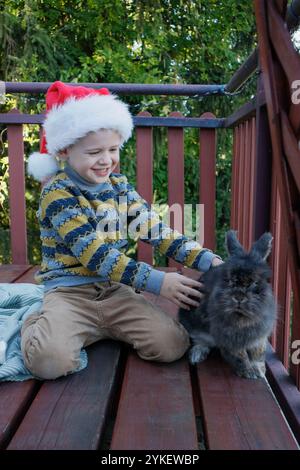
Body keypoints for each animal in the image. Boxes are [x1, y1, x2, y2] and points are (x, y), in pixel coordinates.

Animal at [179, 229, 278, 380]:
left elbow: (258, 354)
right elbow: (239, 355)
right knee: (200, 341)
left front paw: (259, 371)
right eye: (230, 280)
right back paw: (196, 355)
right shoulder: (230, 337)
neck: (242, 316)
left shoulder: (259, 337)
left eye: (255, 282)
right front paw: (248, 372)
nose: (239, 297)